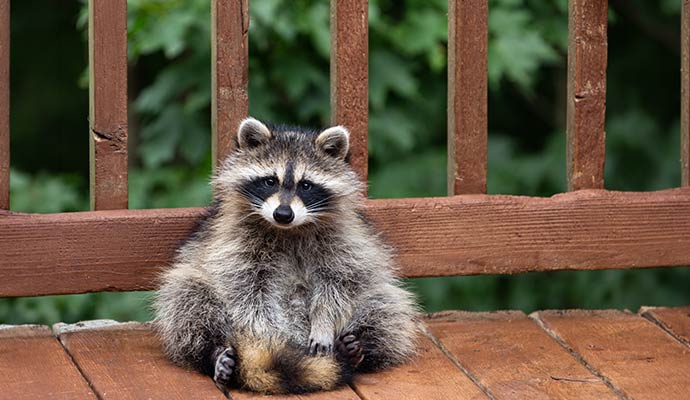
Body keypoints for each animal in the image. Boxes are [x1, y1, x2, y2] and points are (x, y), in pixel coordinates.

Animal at [154, 118, 419, 395]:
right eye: (270, 181)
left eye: (306, 185)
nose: (283, 214)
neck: (289, 230)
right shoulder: (233, 242)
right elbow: (247, 293)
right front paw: (265, 338)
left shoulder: (346, 239)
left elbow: (342, 281)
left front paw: (324, 321)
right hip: (196, 289)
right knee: (188, 297)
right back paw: (215, 354)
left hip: (376, 301)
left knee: (385, 306)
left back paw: (359, 349)